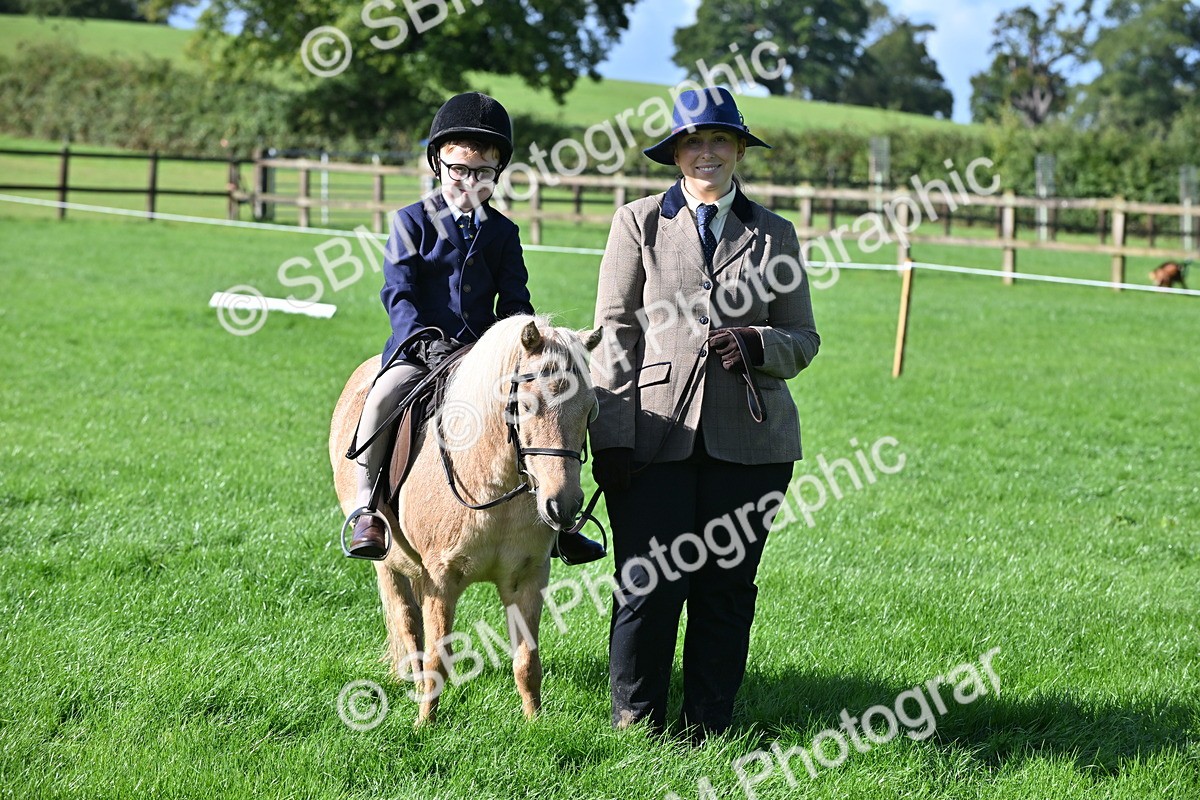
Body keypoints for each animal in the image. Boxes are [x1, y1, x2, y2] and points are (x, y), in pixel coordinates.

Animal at [329, 315, 603, 725]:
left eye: (590, 410)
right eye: (527, 405)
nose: (563, 506)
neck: (492, 486)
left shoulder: (528, 576)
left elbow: (527, 660)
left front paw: (535, 723)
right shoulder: (441, 579)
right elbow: (436, 658)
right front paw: (424, 725)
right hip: (387, 564)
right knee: (408, 623)